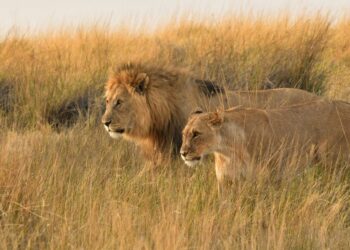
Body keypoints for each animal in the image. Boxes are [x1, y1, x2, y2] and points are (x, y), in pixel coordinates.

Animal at [180, 100, 350, 194]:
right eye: (184, 134)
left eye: (196, 134)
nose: (183, 153)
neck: (227, 150)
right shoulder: (226, 182)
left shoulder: (265, 179)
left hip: (335, 167)